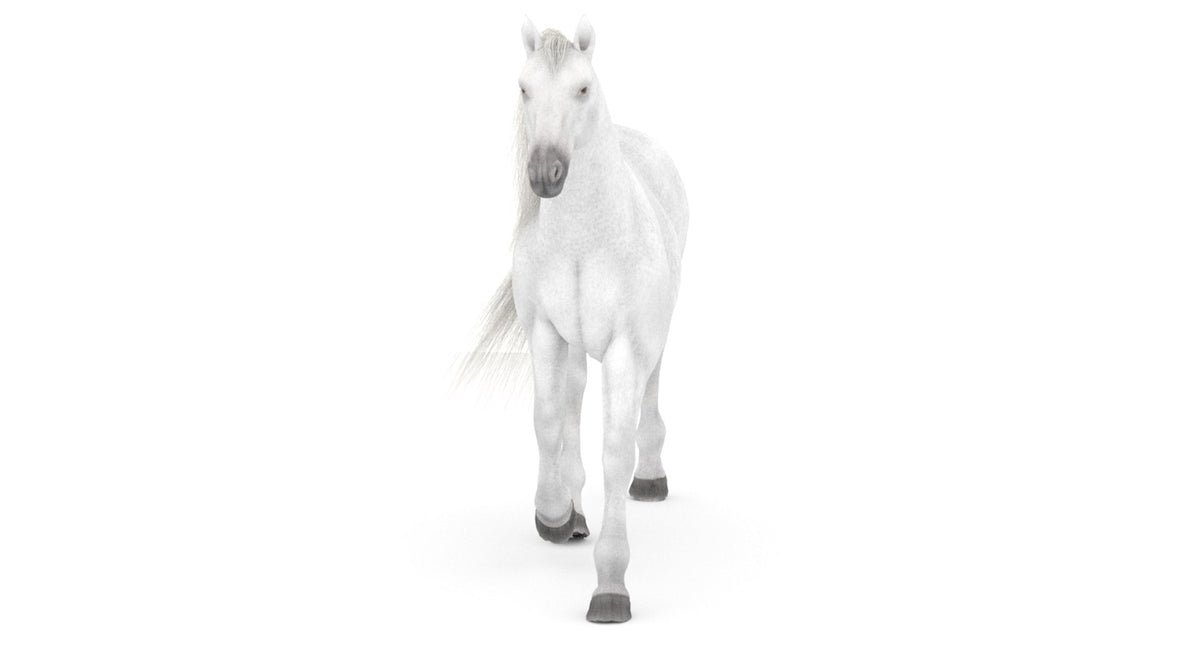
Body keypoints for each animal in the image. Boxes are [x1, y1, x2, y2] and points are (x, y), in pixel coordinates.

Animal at [462, 16, 688, 623]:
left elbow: (615, 450)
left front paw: (610, 584)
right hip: (572, 347)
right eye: (524, 89)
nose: (545, 174)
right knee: (570, 403)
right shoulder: (545, 333)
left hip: (653, 333)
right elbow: (547, 422)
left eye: (582, 88)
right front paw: (555, 515)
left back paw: (651, 479)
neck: (586, 240)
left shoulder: (625, 351)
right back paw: (576, 515)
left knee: (651, 397)